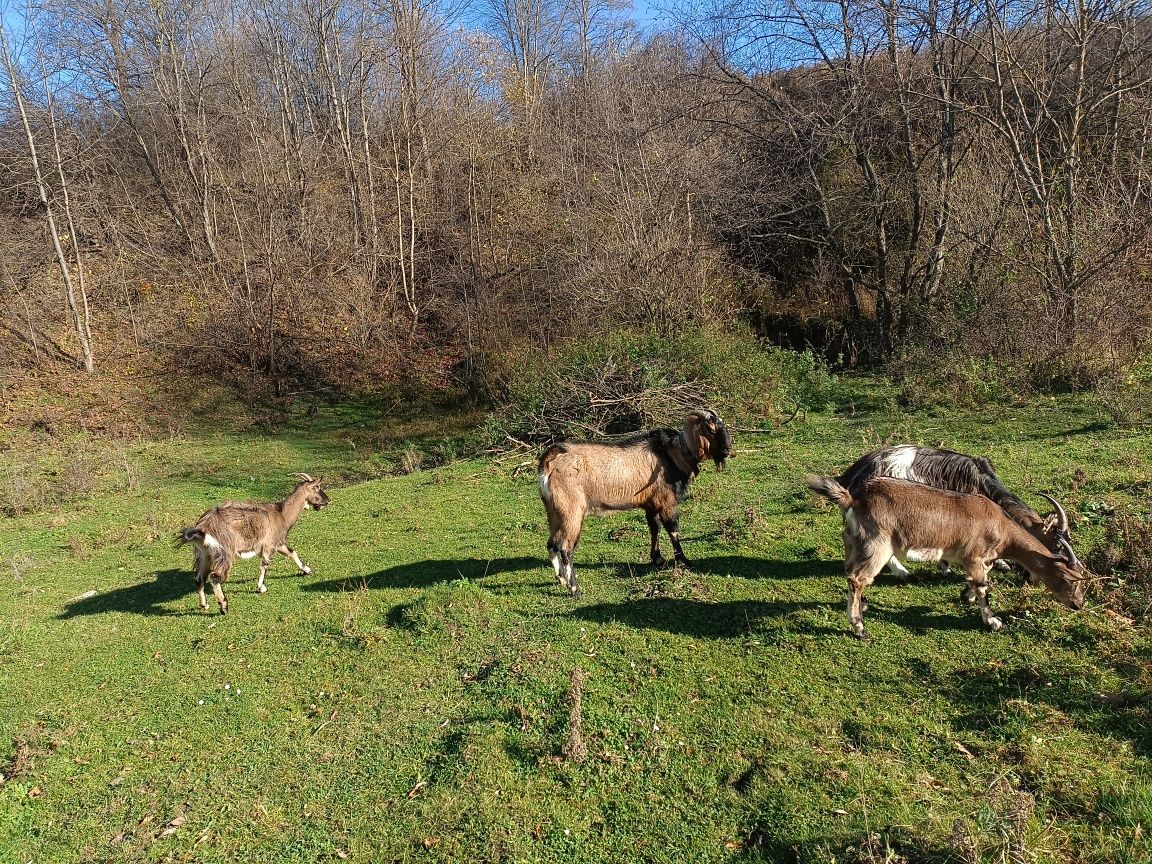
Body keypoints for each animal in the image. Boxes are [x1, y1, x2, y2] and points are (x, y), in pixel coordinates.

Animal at [175, 474, 329, 617]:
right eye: (317, 487)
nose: (327, 500)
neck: (281, 514)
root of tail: (203, 526)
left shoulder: (278, 543)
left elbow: (292, 552)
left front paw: (307, 570)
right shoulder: (269, 544)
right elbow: (264, 565)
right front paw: (261, 587)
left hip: (204, 554)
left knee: (199, 577)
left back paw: (204, 604)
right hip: (224, 552)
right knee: (215, 577)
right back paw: (223, 606)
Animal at [536, 410, 732, 599]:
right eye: (711, 430)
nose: (728, 449)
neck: (672, 454)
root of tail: (549, 463)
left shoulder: (651, 504)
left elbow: (654, 528)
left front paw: (657, 559)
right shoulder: (666, 502)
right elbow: (673, 530)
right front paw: (683, 561)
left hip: (553, 510)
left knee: (552, 543)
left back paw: (561, 580)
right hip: (572, 512)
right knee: (565, 548)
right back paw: (575, 589)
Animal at [806, 476, 1082, 640]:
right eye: (1073, 580)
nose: (1079, 604)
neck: (1001, 527)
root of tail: (853, 498)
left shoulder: (979, 560)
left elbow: (978, 580)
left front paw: (966, 595)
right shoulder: (974, 556)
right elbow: (983, 585)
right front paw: (993, 621)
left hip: (853, 541)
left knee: (850, 572)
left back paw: (864, 604)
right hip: (877, 543)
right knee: (857, 578)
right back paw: (860, 628)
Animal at [838, 446, 1078, 582]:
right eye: (1057, 546)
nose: (1029, 579)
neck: (981, 481)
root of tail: (852, 475)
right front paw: (946, 567)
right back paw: (903, 572)